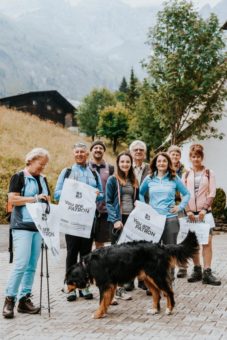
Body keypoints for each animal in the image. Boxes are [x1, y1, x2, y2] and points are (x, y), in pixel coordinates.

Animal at [64, 231, 198, 318]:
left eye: (68, 280)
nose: (62, 290)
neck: (88, 265)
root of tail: (161, 247)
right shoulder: (111, 284)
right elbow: (107, 300)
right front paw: (104, 311)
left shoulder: (104, 284)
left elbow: (102, 301)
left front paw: (98, 314)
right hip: (148, 277)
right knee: (156, 293)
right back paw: (154, 310)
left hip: (156, 275)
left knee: (168, 292)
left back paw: (169, 309)